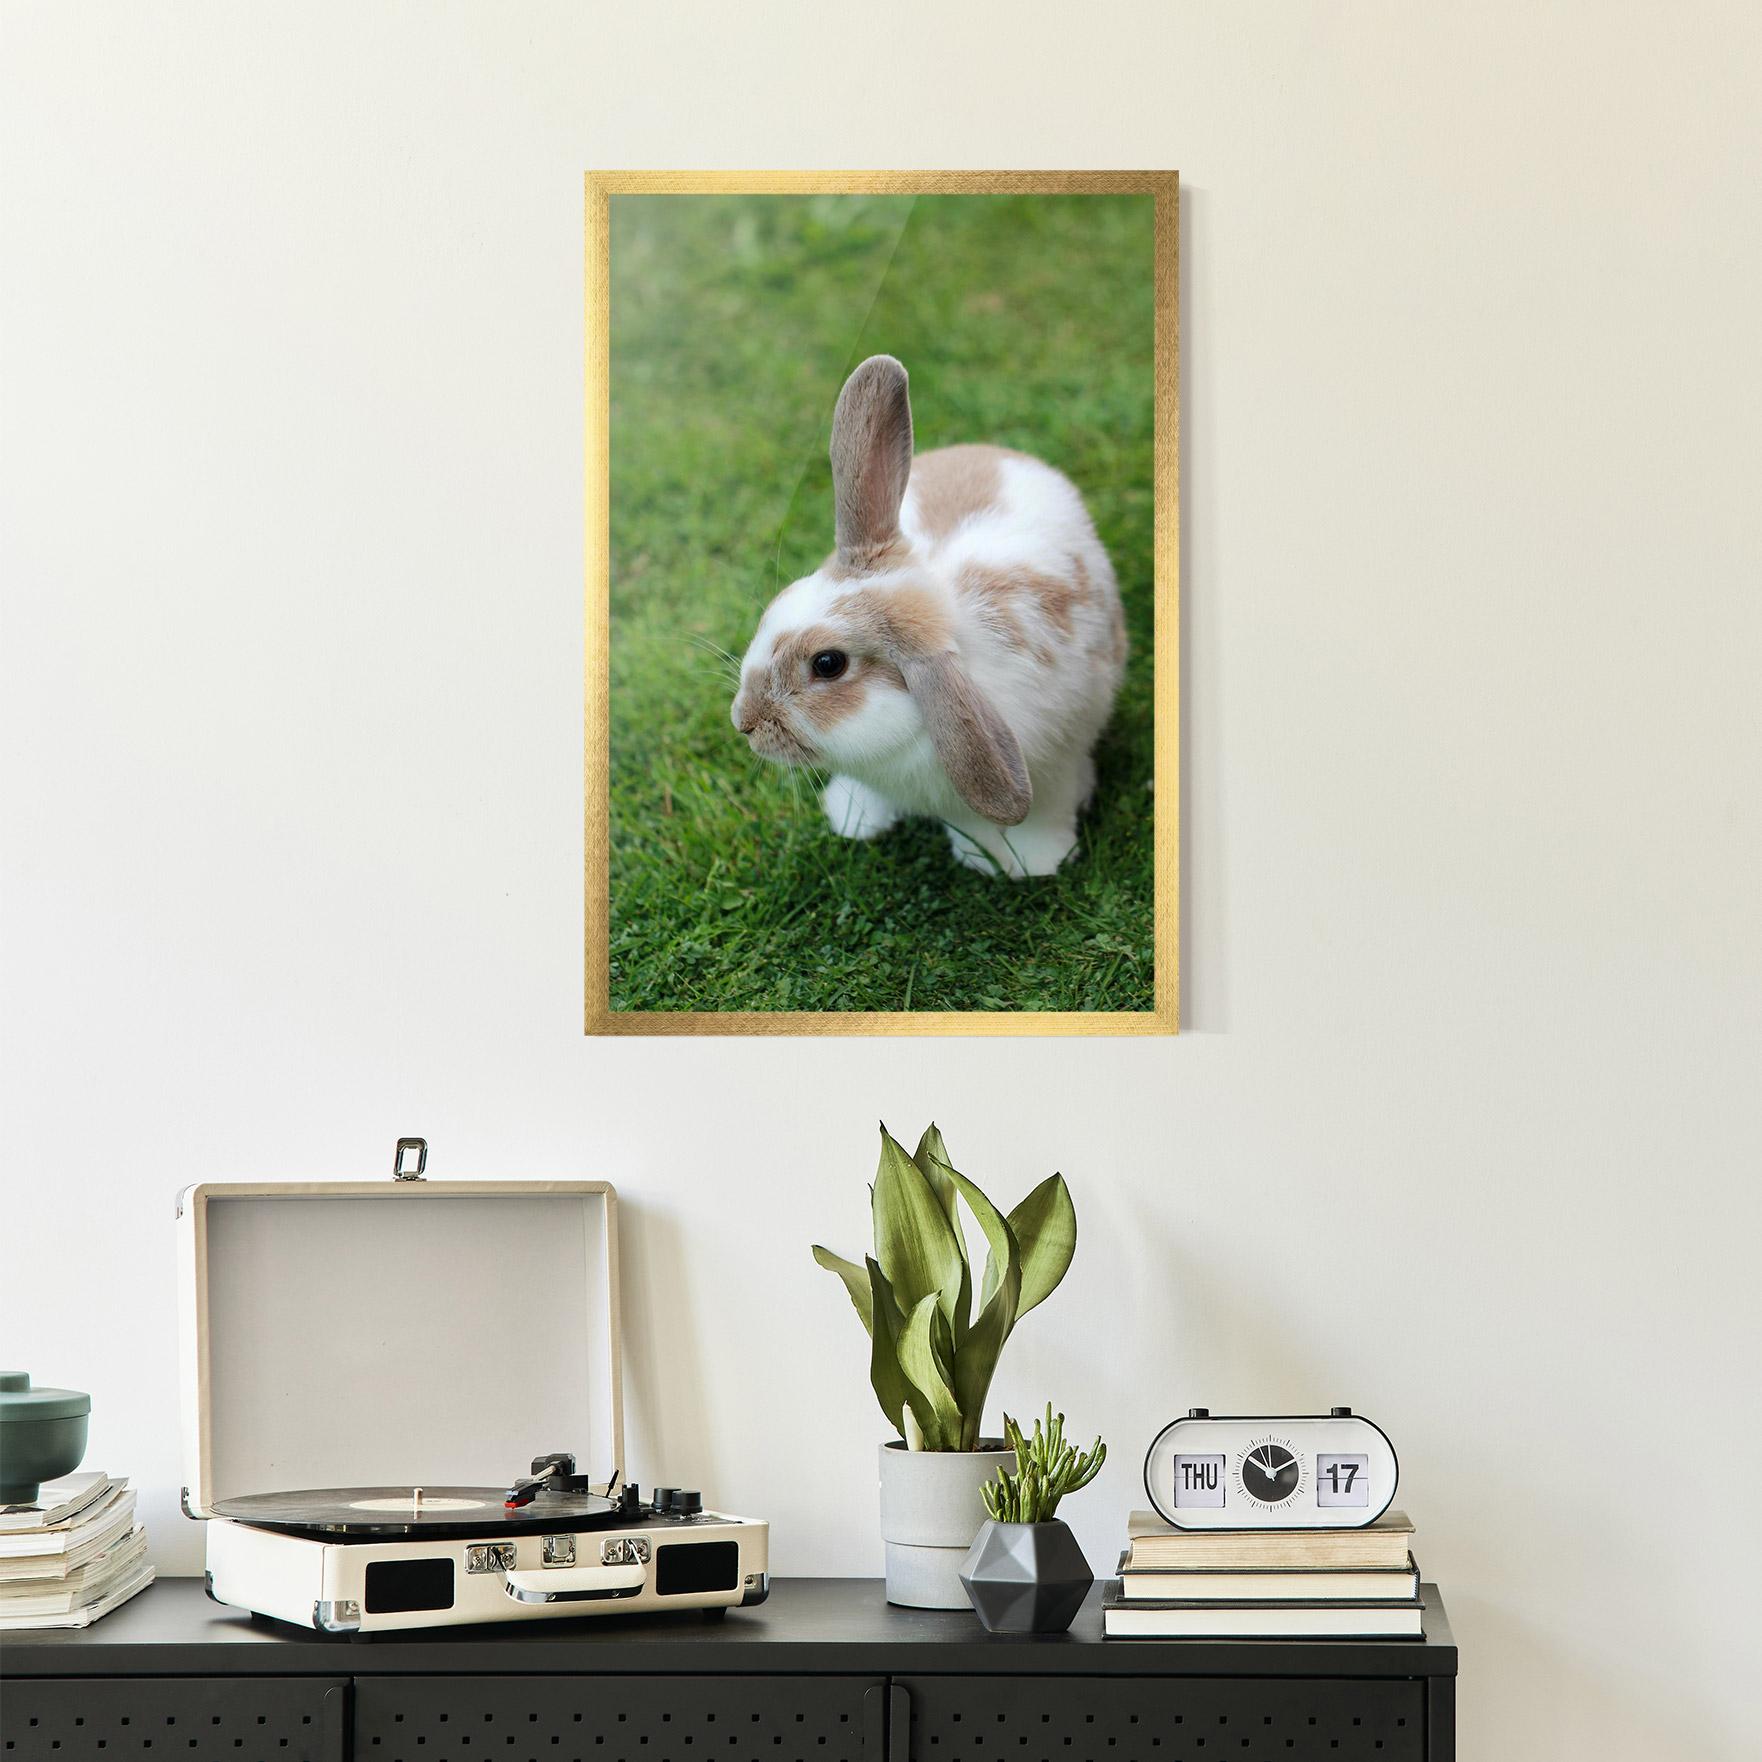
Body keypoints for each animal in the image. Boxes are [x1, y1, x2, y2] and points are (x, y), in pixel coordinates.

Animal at [730, 354, 1127, 878]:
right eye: (779, 604)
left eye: (828, 664)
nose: (744, 721)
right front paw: (855, 818)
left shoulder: (1052, 767)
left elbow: (1042, 815)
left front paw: (1035, 862)